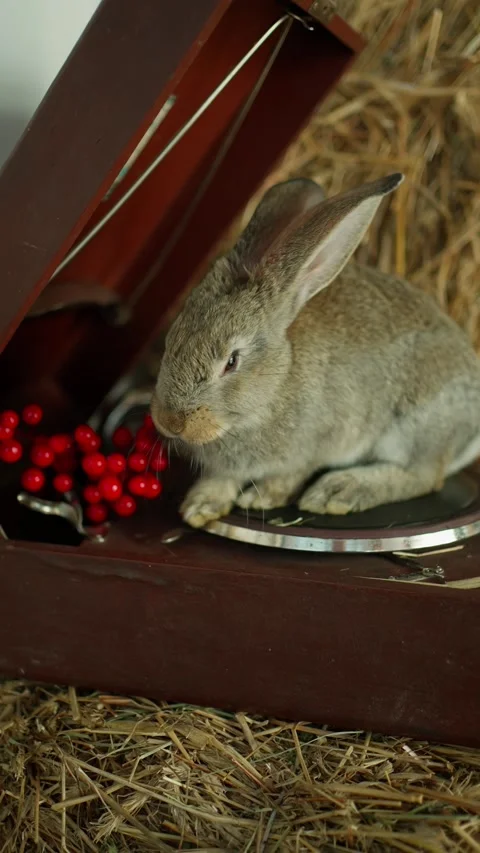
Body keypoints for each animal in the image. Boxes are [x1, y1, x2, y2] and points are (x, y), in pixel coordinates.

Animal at [151, 173, 480, 528]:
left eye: (232, 362)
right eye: (172, 338)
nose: (169, 421)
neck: (275, 385)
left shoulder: (319, 444)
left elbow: (290, 476)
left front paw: (260, 499)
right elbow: (220, 480)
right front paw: (200, 506)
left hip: (415, 425)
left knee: (424, 476)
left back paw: (338, 491)